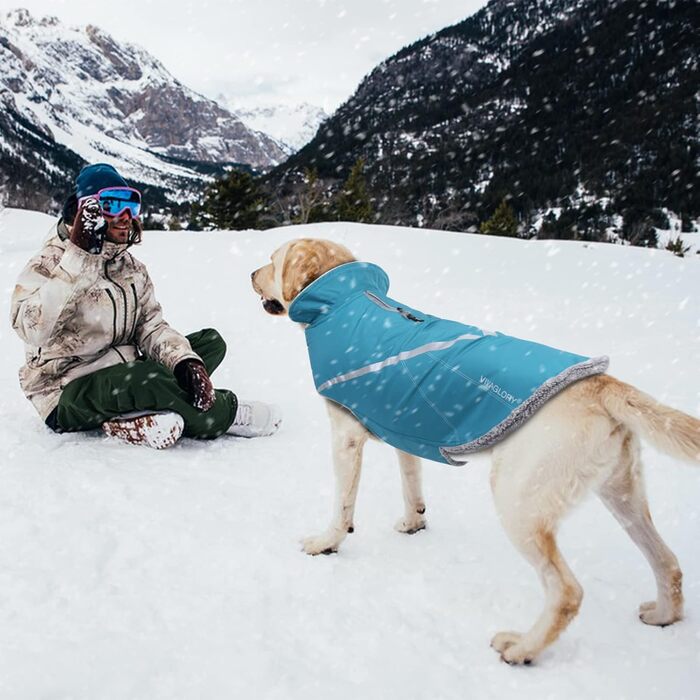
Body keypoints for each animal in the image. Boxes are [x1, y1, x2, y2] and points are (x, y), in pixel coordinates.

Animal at [252, 238, 700, 664]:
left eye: (274, 260)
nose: (252, 274)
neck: (346, 300)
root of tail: (603, 384)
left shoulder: (345, 436)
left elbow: (343, 506)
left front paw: (326, 542)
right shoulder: (403, 430)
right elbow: (411, 484)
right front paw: (414, 522)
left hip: (519, 501)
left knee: (568, 591)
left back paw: (522, 648)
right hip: (622, 494)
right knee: (668, 562)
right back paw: (663, 614)